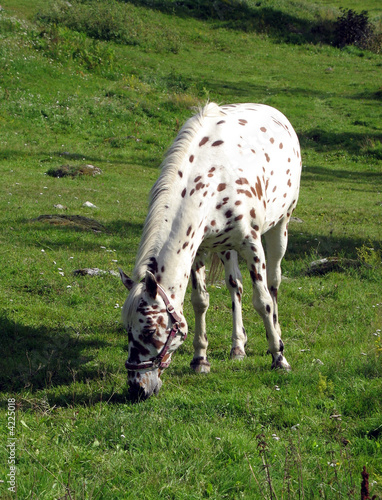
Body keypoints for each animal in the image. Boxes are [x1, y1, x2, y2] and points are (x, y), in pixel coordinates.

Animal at [119, 103, 302, 400]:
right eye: (128, 330)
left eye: (149, 330)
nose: (137, 389)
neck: (211, 178)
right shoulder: (198, 249)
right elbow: (200, 301)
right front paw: (200, 359)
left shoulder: (252, 244)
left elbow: (262, 301)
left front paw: (279, 357)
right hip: (226, 247)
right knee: (235, 286)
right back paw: (238, 346)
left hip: (280, 228)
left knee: (273, 284)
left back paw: (277, 334)